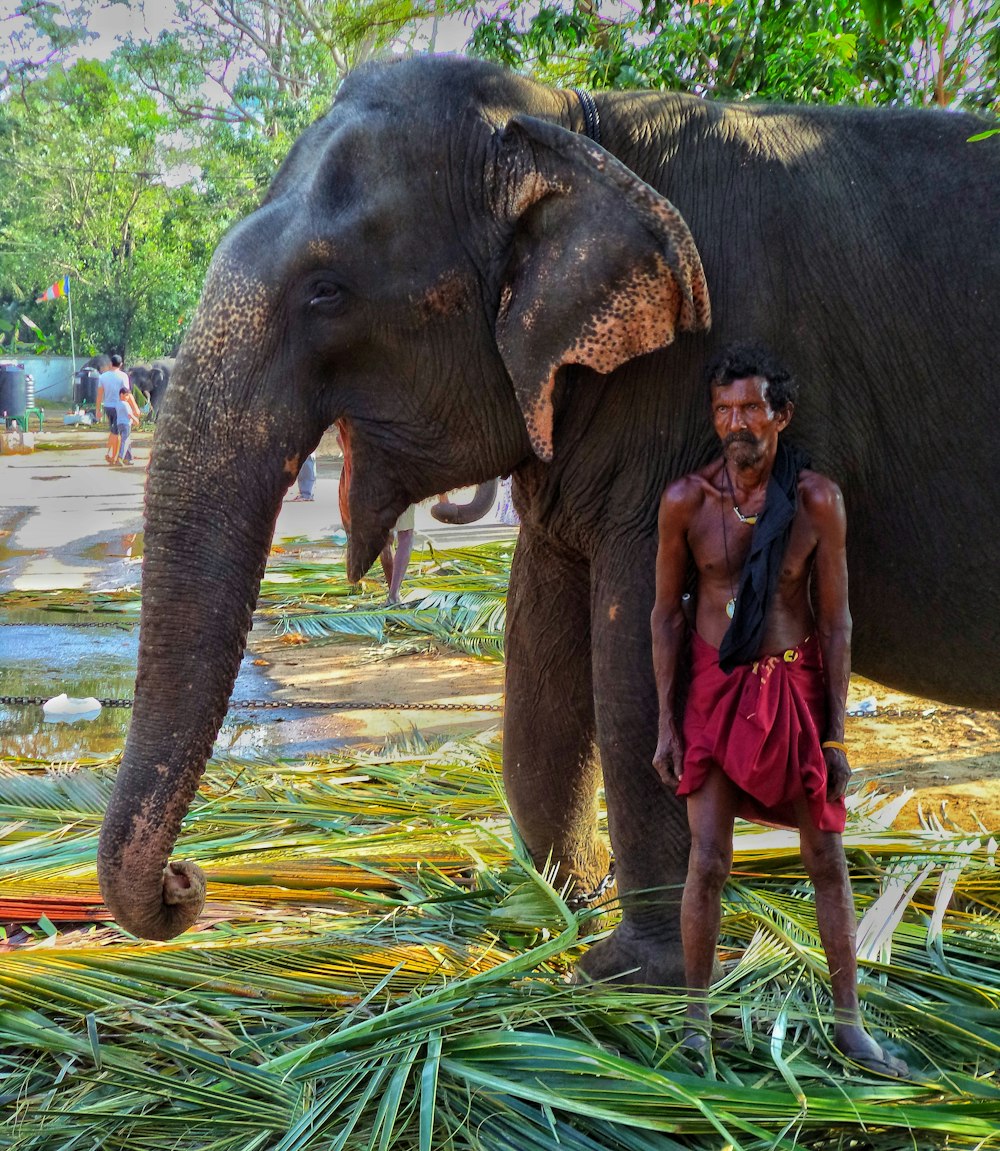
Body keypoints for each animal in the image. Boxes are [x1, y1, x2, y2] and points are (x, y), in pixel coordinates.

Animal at [97, 56, 994, 989]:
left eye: (326, 290)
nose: (187, 881)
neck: (569, 124)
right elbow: (539, 645)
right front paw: (554, 908)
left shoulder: (686, 397)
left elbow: (641, 658)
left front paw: (628, 972)